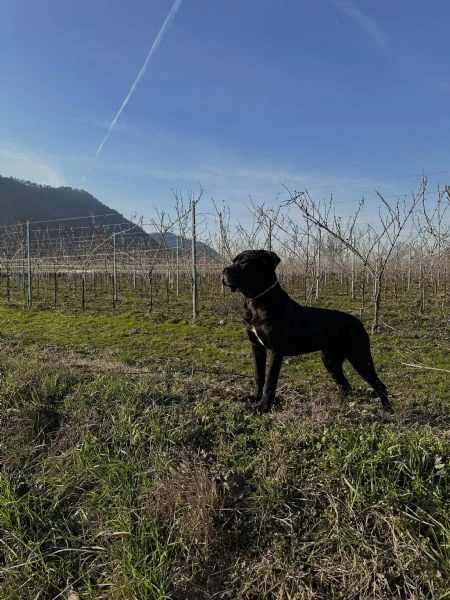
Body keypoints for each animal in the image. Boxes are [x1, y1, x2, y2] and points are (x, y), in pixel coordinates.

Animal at [223, 248, 392, 412]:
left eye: (244, 262)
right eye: (233, 260)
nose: (224, 271)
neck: (255, 300)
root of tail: (358, 321)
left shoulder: (275, 350)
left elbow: (270, 382)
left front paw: (263, 407)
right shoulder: (257, 346)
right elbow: (259, 375)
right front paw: (255, 398)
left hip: (359, 358)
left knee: (379, 385)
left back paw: (388, 410)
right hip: (330, 360)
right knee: (345, 385)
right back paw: (339, 407)